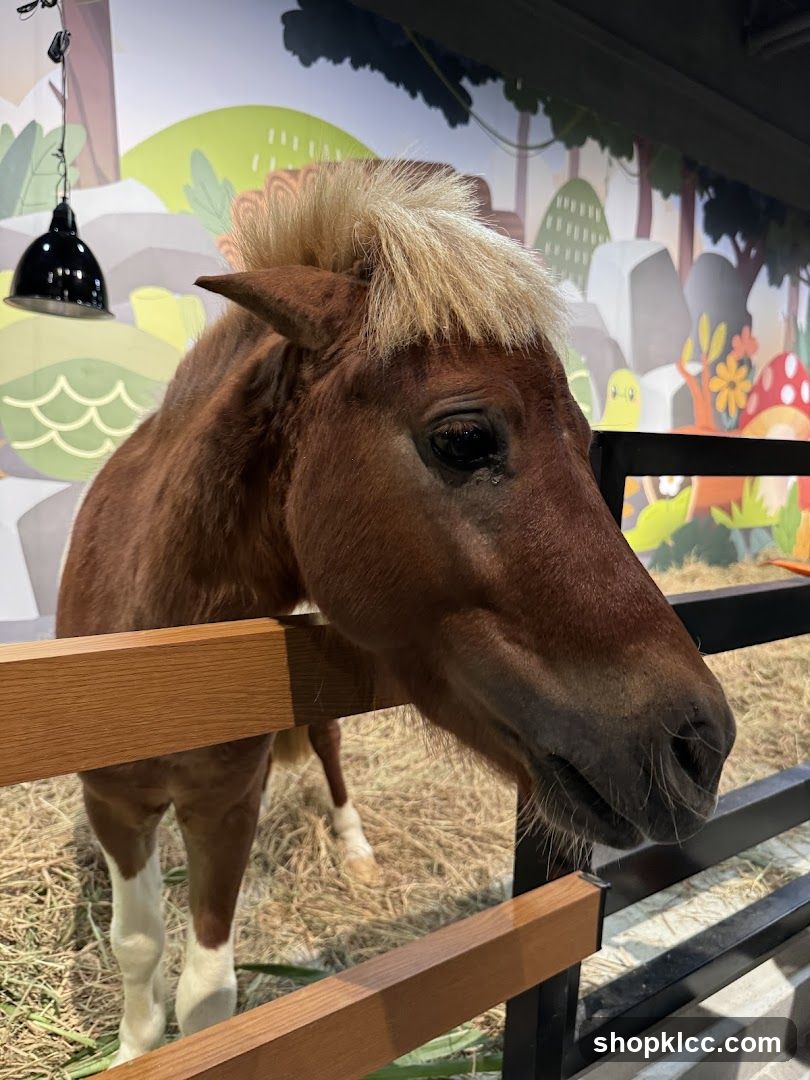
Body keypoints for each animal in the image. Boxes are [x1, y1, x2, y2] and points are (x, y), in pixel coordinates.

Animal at [57, 160, 735, 1064]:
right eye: (465, 438)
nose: (702, 744)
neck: (148, 666)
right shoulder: (116, 802)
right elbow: (138, 946)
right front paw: (136, 1049)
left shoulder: (226, 805)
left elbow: (209, 993)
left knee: (330, 750)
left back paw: (354, 845)